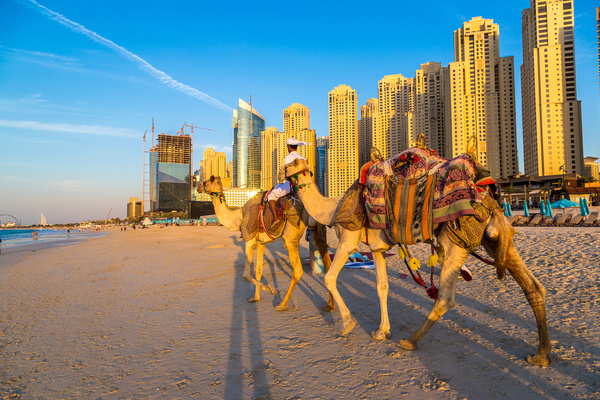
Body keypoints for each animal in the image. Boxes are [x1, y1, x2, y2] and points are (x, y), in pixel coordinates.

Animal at [199, 176, 336, 312]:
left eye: (205, 182)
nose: (199, 187)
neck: (239, 216)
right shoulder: (261, 243)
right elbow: (258, 270)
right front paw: (255, 298)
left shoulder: (249, 240)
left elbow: (246, 274)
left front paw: (271, 289)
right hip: (317, 227)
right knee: (326, 260)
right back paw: (329, 305)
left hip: (292, 229)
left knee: (297, 269)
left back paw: (282, 304)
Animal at [286, 156, 552, 366]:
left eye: (289, 164)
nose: (281, 178)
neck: (333, 208)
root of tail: (488, 199)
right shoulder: (378, 247)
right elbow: (382, 287)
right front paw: (381, 332)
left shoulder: (348, 240)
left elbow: (330, 278)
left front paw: (347, 324)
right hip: (494, 237)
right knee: (534, 287)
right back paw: (541, 355)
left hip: (455, 240)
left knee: (445, 298)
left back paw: (410, 341)